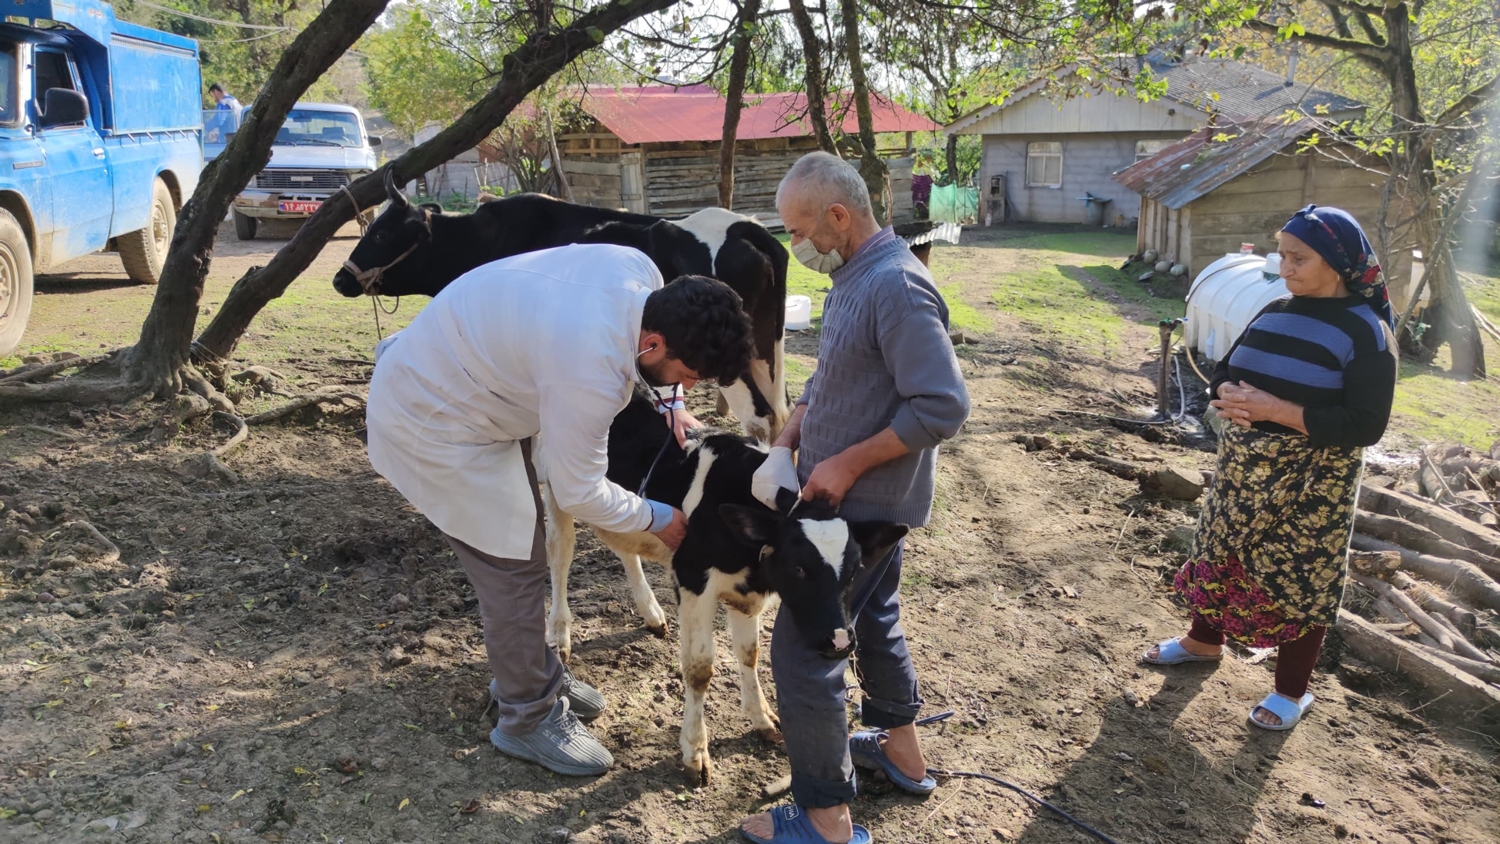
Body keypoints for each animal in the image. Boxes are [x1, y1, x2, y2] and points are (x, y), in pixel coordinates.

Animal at [546, 392, 906, 785]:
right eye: (798, 567)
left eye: (856, 569)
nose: (840, 641)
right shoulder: (693, 581)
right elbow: (699, 668)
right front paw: (695, 752)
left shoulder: (746, 594)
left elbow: (749, 653)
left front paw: (763, 718)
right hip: (557, 488)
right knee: (560, 554)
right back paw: (560, 634)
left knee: (624, 546)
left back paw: (651, 612)